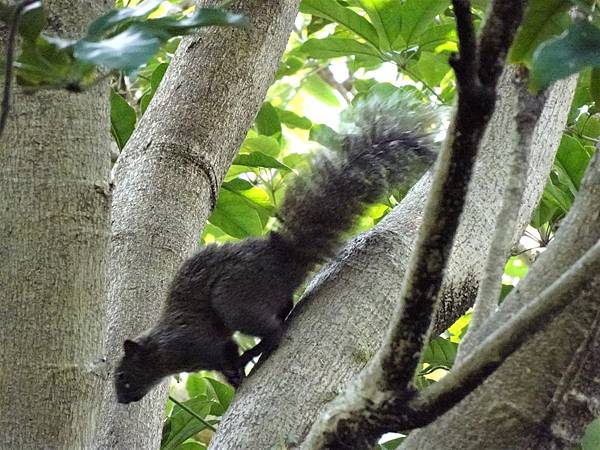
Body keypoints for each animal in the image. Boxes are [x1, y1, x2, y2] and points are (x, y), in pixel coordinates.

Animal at [115, 92, 438, 404]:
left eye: (122, 375)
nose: (121, 400)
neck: (161, 347)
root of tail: (283, 255)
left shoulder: (194, 340)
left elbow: (225, 351)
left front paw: (238, 369)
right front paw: (235, 376)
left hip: (236, 298)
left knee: (274, 330)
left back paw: (259, 348)